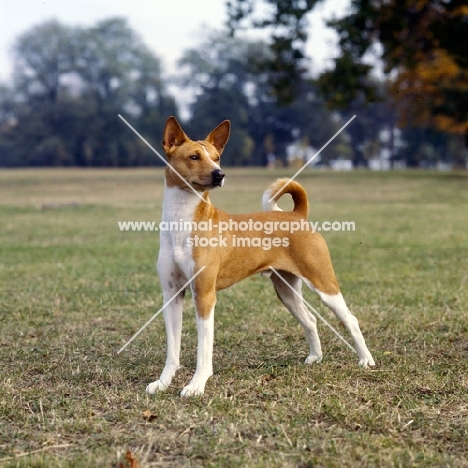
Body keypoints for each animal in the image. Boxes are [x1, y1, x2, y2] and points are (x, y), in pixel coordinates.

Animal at [144, 116, 374, 394]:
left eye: (217, 158)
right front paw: (162, 383)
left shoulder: (205, 295)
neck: (182, 220)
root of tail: (297, 215)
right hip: (286, 290)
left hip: (324, 284)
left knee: (351, 320)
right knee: (310, 320)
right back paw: (315, 357)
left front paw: (196, 386)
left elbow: (203, 350)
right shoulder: (172, 294)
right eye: (194, 156)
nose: (219, 174)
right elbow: (172, 351)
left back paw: (365, 360)